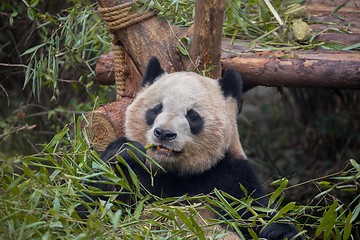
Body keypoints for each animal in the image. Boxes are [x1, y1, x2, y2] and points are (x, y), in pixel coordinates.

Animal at [99, 57, 300, 239]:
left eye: (192, 116)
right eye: (156, 109)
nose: (164, 133)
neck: (177, 173)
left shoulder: (232, 179)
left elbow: (253, 213)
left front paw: (279, 231)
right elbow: (101, 208)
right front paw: (124, 153)